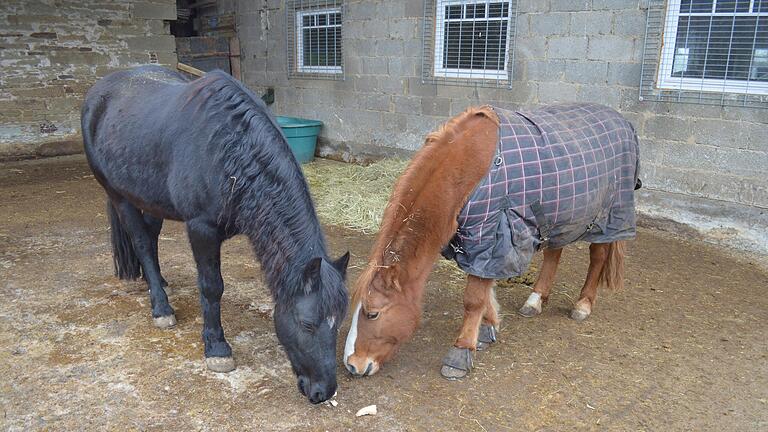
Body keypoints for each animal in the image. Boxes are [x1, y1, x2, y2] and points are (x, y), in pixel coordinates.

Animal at [82, 66, 352, 404]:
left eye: (339, 320)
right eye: (307, 324)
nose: (323, 391)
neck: (230, 151)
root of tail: (98, 92)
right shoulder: (201, 228)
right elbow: (212, 287)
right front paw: (216, 349)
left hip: (151, 198)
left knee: (151, 239)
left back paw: (157, 282)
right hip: (120, 197)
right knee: (142, 242)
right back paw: (161, 308)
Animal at [344, 104, 640, 378]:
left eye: (372, 313)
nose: (352, 365)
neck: (466, 168)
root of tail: (622, 121)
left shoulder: (490, 234)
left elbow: (473, 297)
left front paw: (461, 351)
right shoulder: (480, 241)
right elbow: (484, 290)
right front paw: (487, 328)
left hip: (608, 215)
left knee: (598, 257)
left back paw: (583, 304)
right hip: (561, 215)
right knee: (554, 253)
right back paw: (535, 300)